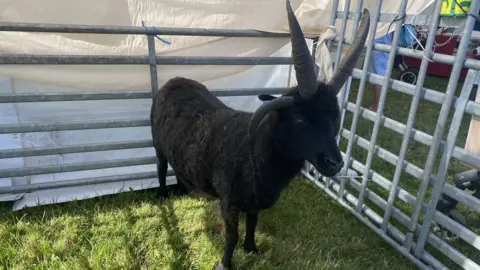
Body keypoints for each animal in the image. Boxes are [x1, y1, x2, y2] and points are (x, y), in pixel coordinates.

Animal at [151, 1, 372, 268]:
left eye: (334, 118)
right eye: (299, 118)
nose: (335, 163)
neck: (255, 151)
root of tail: (174, 80)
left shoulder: (255, 198)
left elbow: (253, 224)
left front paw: (252, 248)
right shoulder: (229, 200)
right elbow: (231, 234)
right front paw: (225, 263)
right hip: (157, 145)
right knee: (161, 167)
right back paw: (163, 195)